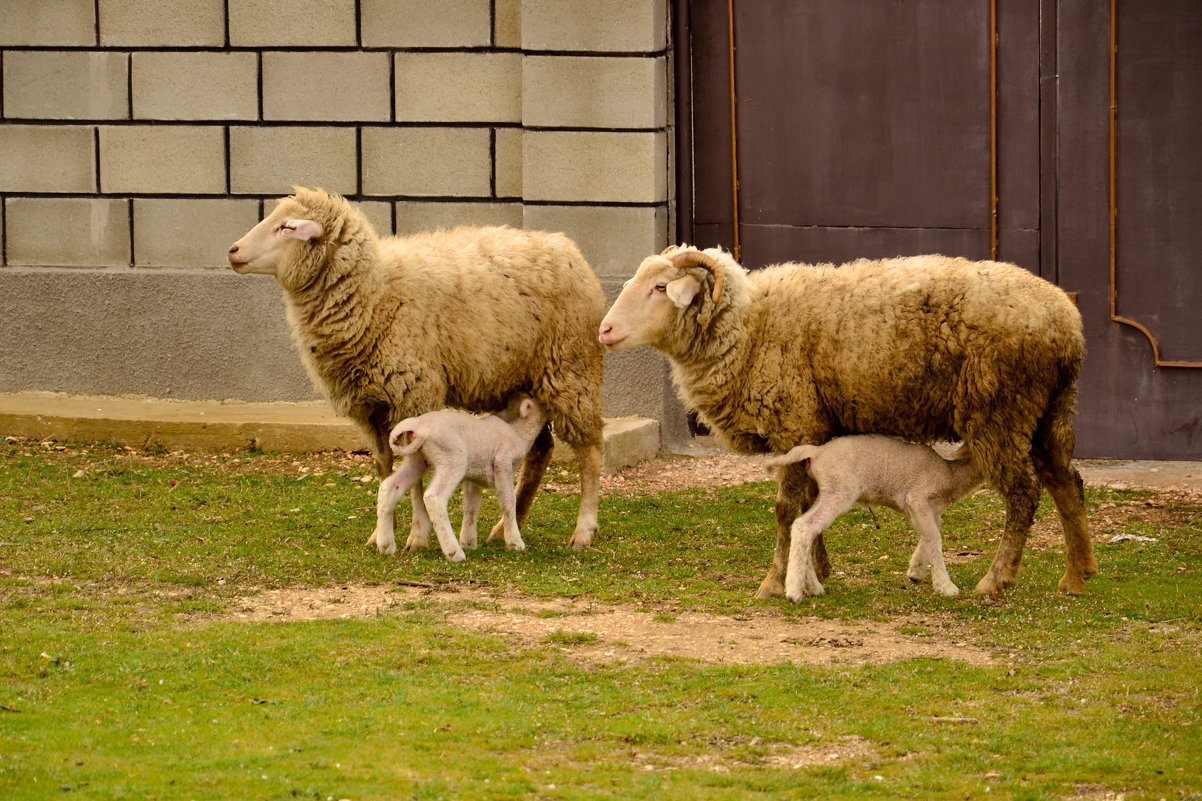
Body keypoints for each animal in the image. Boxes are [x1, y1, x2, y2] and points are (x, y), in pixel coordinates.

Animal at [370, 394, 550, 560]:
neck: (519, 432)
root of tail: (419, 426)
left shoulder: (474, 477)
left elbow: (471, 506)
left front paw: (469, 542)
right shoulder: (503, 463)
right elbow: (509, 502)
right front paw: (515, 542)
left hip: (417, 459)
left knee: (389, 487)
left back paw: (386, 545)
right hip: (452, 458)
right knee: (434, 497)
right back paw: (454, 552)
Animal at [764, 437, 980, 598]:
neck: (951, 474)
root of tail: (817, 452)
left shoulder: (930, 510)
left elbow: (930, 534)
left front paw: (916, 571)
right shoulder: (918, 498)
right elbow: (934, 537)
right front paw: (946, 586)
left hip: (828, 489)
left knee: (805, 527)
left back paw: (812, 586)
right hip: (839, 488)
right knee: (804, 525)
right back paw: (794, 591)